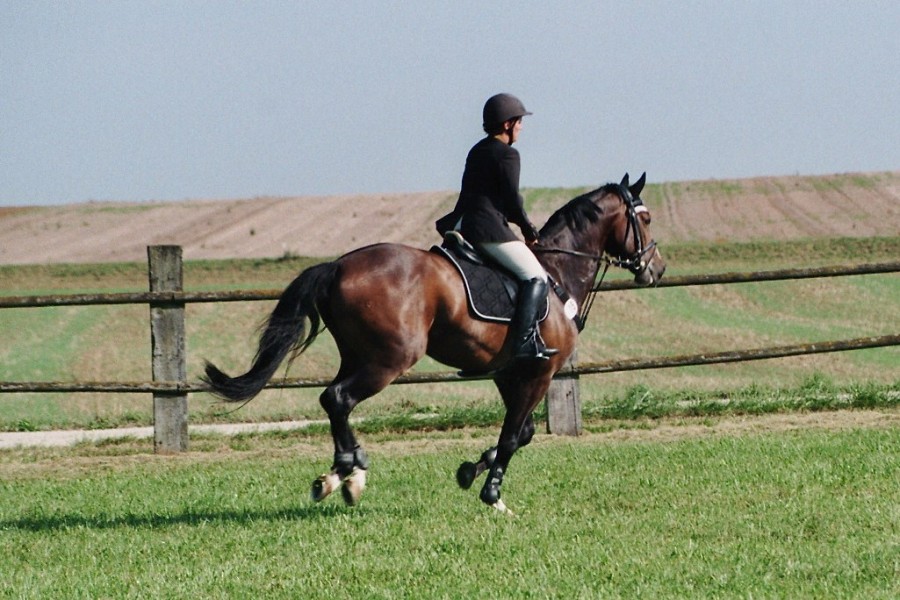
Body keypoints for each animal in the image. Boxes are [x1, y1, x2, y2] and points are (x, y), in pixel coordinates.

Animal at [202, 173, 666, 513]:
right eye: (644, 219)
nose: (657, 269)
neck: (555, 273)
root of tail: (338, 266)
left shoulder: (509, 371)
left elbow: (523, 432)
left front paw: (470, 471)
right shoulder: (539, 371)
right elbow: (513, 437)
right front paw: (492, 496)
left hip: (358, 354)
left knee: (332, 400)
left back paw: (340, 476)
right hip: (389, 360)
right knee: (338, 398)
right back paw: (351, 473)